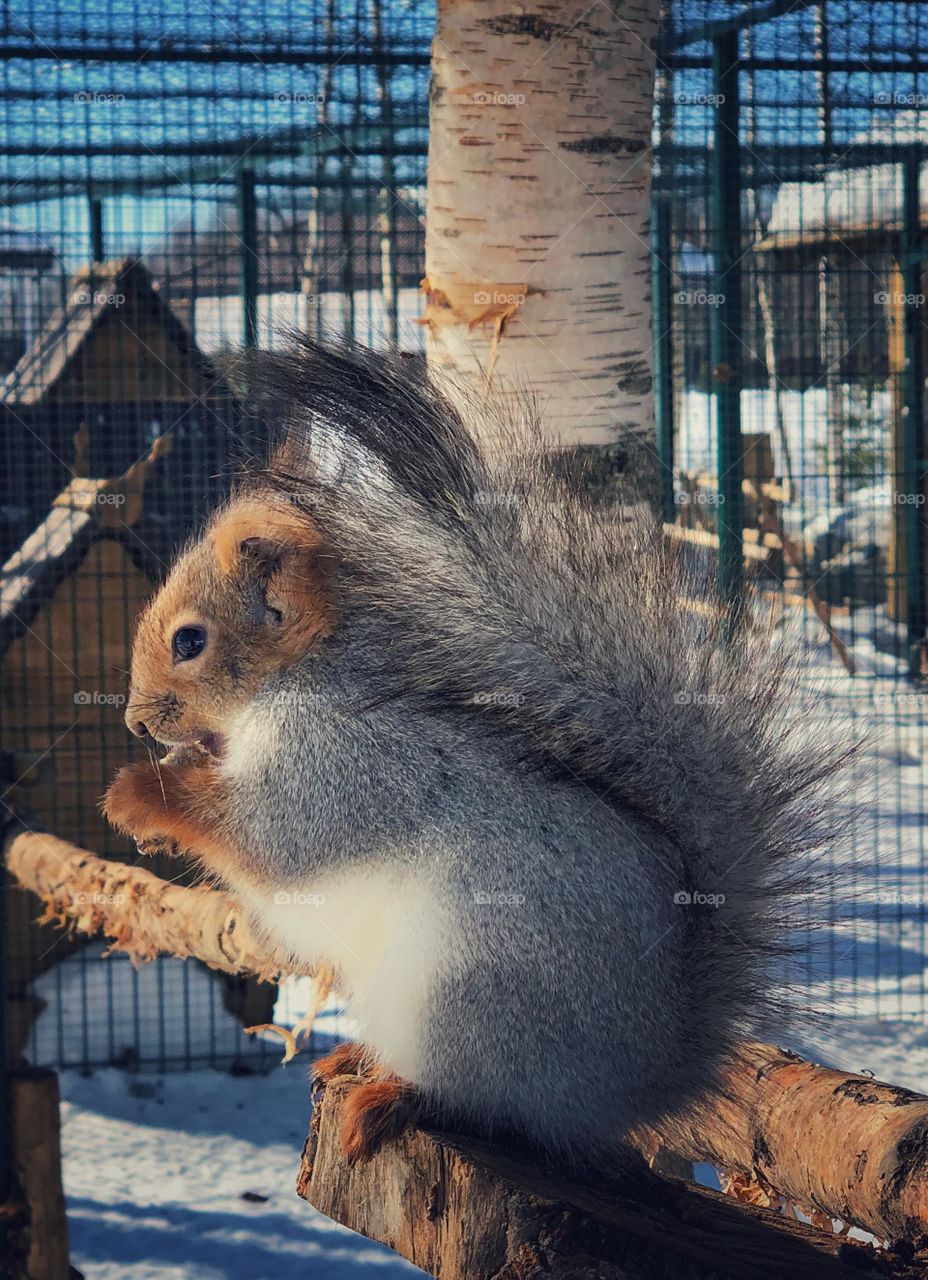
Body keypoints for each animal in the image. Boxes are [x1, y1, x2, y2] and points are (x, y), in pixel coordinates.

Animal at [104, 340, 846, 1171]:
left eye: (189, 641)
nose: (136, 720)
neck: (299, 681)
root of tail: (640, 1086)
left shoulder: (349, 764)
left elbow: (274, 839)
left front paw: (141, 795)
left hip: (466, 997)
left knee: (489, 1101)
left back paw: (394, 1095)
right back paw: (353, 1060)